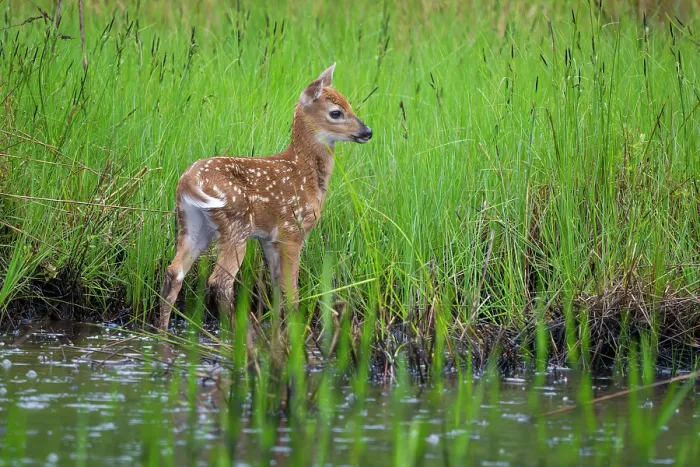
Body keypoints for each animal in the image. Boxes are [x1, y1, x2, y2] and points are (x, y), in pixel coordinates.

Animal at [158, 63, 372, 330]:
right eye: (336, 112)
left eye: (350, 105)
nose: (367, 131)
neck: (304, 172)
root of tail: (188, 180)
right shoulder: (293, 230)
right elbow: (291, 292)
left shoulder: (270, 239)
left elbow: (278, 287)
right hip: (236, 223)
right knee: (220, 281)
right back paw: (239, 331)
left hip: (193, 223)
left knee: (174, 271)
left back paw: (163, 332)